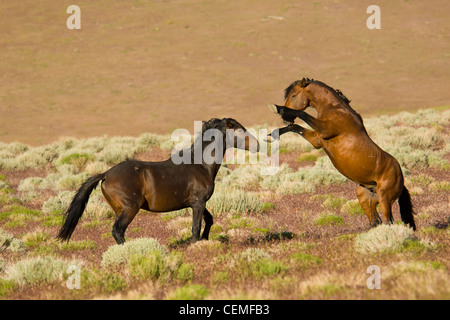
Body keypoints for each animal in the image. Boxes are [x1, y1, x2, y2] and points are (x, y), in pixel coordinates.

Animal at [58, 118, 258, 245]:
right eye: (240, 129)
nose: (258, 145)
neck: (200, 164)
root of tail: (106, 174)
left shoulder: (197, 203)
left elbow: (209, 220)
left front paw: (205, 239)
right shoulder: (198, 203)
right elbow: (196, 228)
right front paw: (196, 244)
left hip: (119, 210)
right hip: (130, 208)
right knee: (118, 231)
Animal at [268, 79, 416, 231]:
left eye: (293, 95)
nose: (285, 118)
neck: (336, 109)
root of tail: (401, 179)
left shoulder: (324, 130)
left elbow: (302, 115)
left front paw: (277, 108)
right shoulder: (316, 140)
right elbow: (295, 127)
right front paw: (272, 135)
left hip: (384, 199)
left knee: (389, 222)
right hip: (365, 197)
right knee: (376, 221)